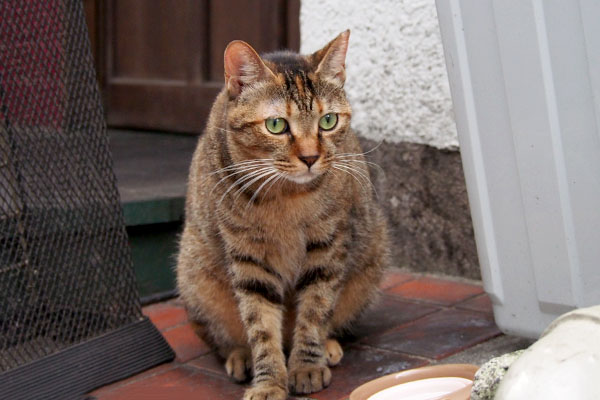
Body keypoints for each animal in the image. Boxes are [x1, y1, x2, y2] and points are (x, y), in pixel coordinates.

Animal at [175, 31, 390, 400]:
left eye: (328, 121)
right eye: (276, 125)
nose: (310, 157)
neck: (287, 199)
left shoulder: (328, 246)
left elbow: (315, 310)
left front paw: (306, 366)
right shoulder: (248, 257)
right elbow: (260, 326)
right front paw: (268, 382)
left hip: (372, 258)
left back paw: (327, 347)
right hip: (193, 272)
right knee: (224, 338)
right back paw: (240, 356)